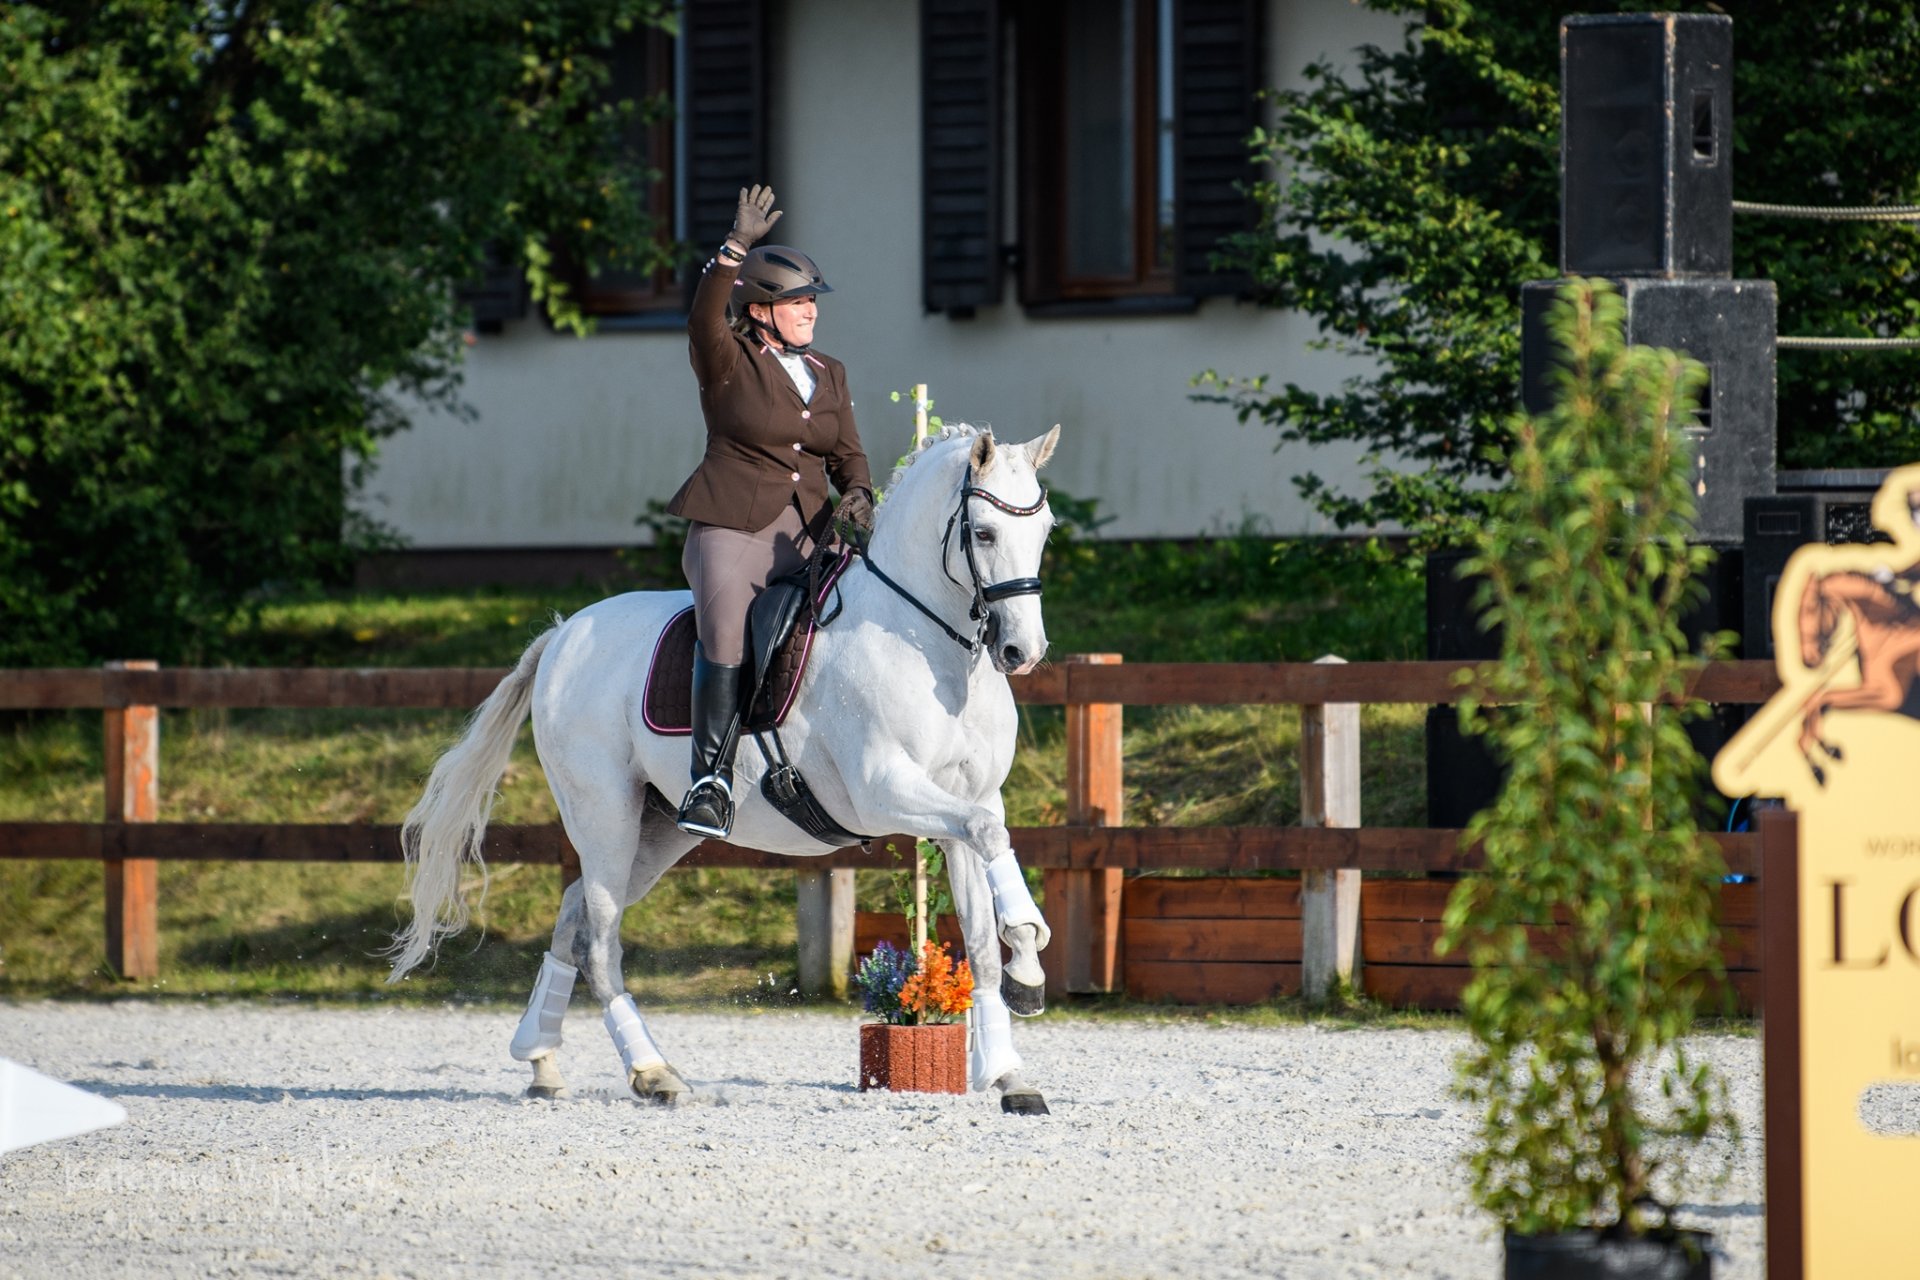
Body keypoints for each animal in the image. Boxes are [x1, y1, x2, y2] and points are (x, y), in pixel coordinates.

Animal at [389, 427, 1067, 1113]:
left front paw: (1011, 1063)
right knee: (598, 941)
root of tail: (562, 634)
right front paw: (1029, 948)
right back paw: (653, 1073)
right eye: (983, 533)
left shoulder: (967, 801)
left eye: (1044, 532)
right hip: (604, 814)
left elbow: (982, 916)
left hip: (656, 830)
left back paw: (542, 1061)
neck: (924, 637)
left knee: (573, 915)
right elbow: (988, 834)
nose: (1023, 652)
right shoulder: (883, 791)